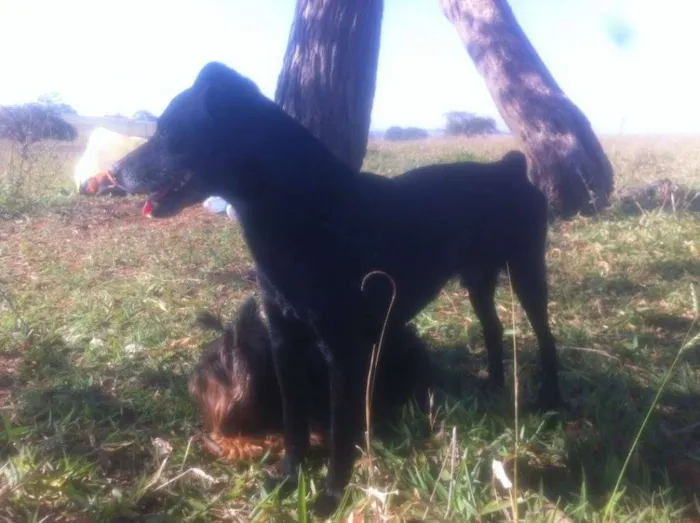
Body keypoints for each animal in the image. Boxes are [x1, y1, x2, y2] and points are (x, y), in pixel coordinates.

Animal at [113, 61, 564, 516]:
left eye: (167, 131)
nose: (114, 173)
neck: (303, 209)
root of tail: (508, 167)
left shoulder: (344, 352)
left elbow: (340, 429)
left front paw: (331, 495)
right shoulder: (284, 343)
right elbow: (293, 421)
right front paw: (288, 477)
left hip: (527, 272)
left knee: (545, 336)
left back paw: (550, 400)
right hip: (477, 279)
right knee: (492, 328)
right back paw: (493, 386)